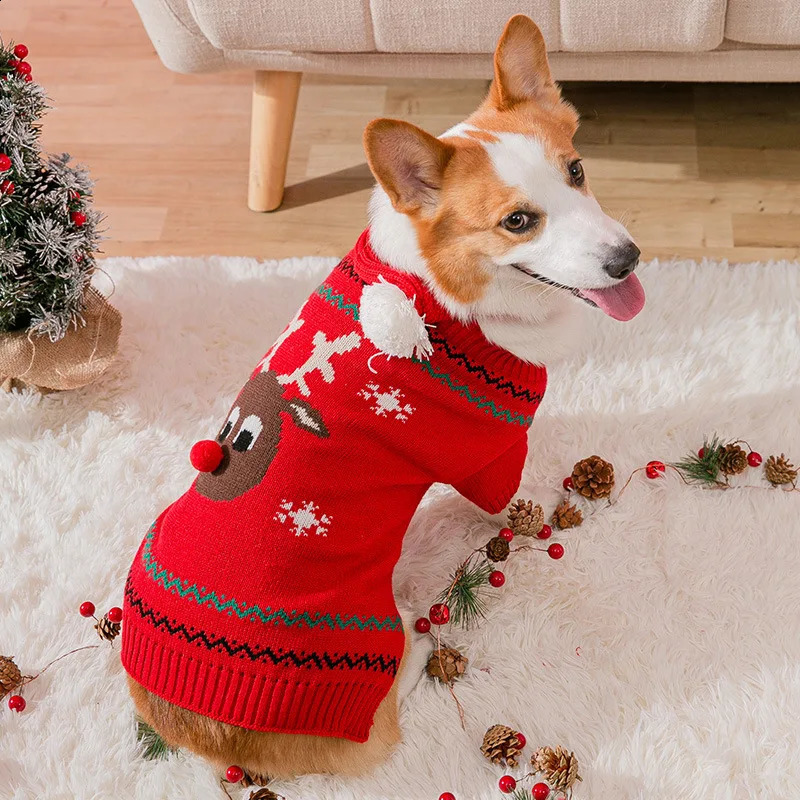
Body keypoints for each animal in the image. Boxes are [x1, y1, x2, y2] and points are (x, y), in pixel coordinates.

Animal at [125, 15, 648, 784]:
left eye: (577, 170)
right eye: (518, 222)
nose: (627, 260)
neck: (444, 291)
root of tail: (200, 736)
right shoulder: (486, 454)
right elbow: (507, 497)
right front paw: (529, 512)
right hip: (372, 642)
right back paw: (420, 644)